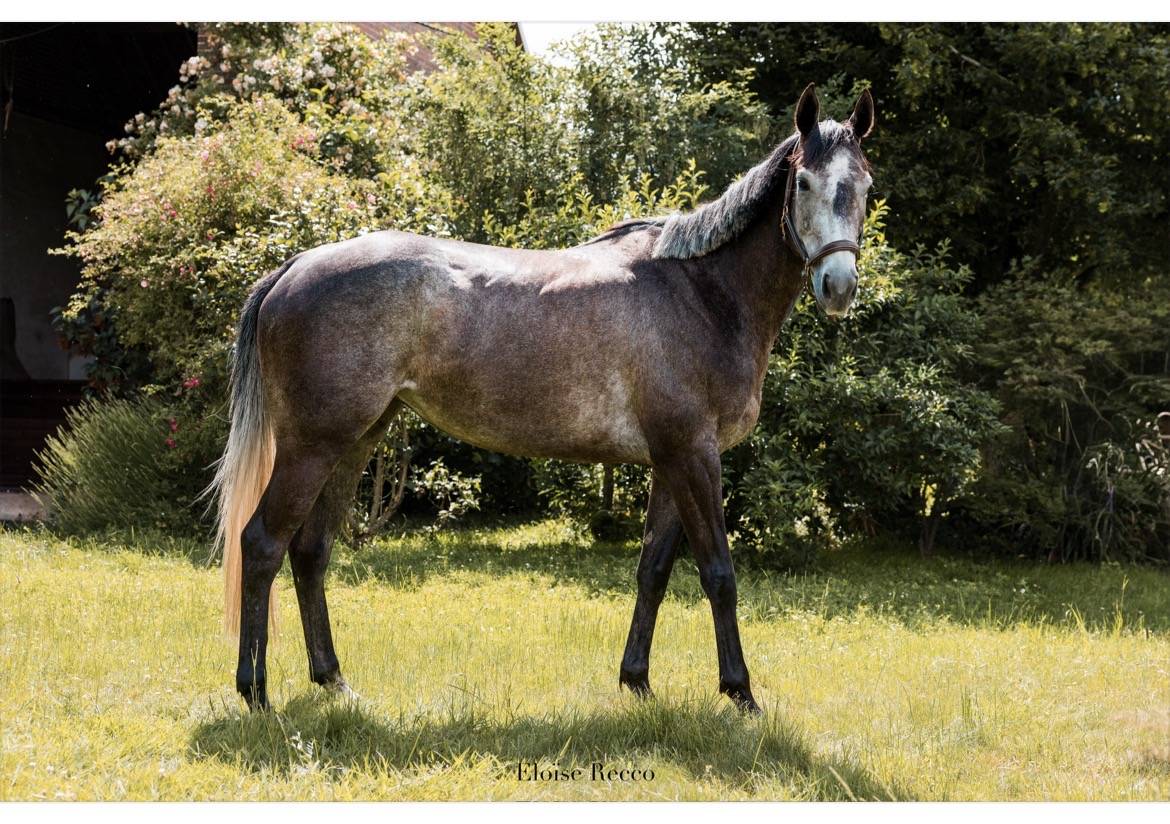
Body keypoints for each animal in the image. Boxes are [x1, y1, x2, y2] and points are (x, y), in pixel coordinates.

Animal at [211, 83, 875, 714]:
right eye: (805, 182)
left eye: (865, 184)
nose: (838, 286)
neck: (700, 292)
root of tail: (295, 266)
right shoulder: (693, 456)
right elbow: (718, 574)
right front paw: (740, 693)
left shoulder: (670, 461)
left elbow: (653, 571)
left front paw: (637, 682)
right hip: (311, 447)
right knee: (262, 544)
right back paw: (255, 691)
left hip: (354, 444)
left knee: (310, 552)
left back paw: (333, 681)